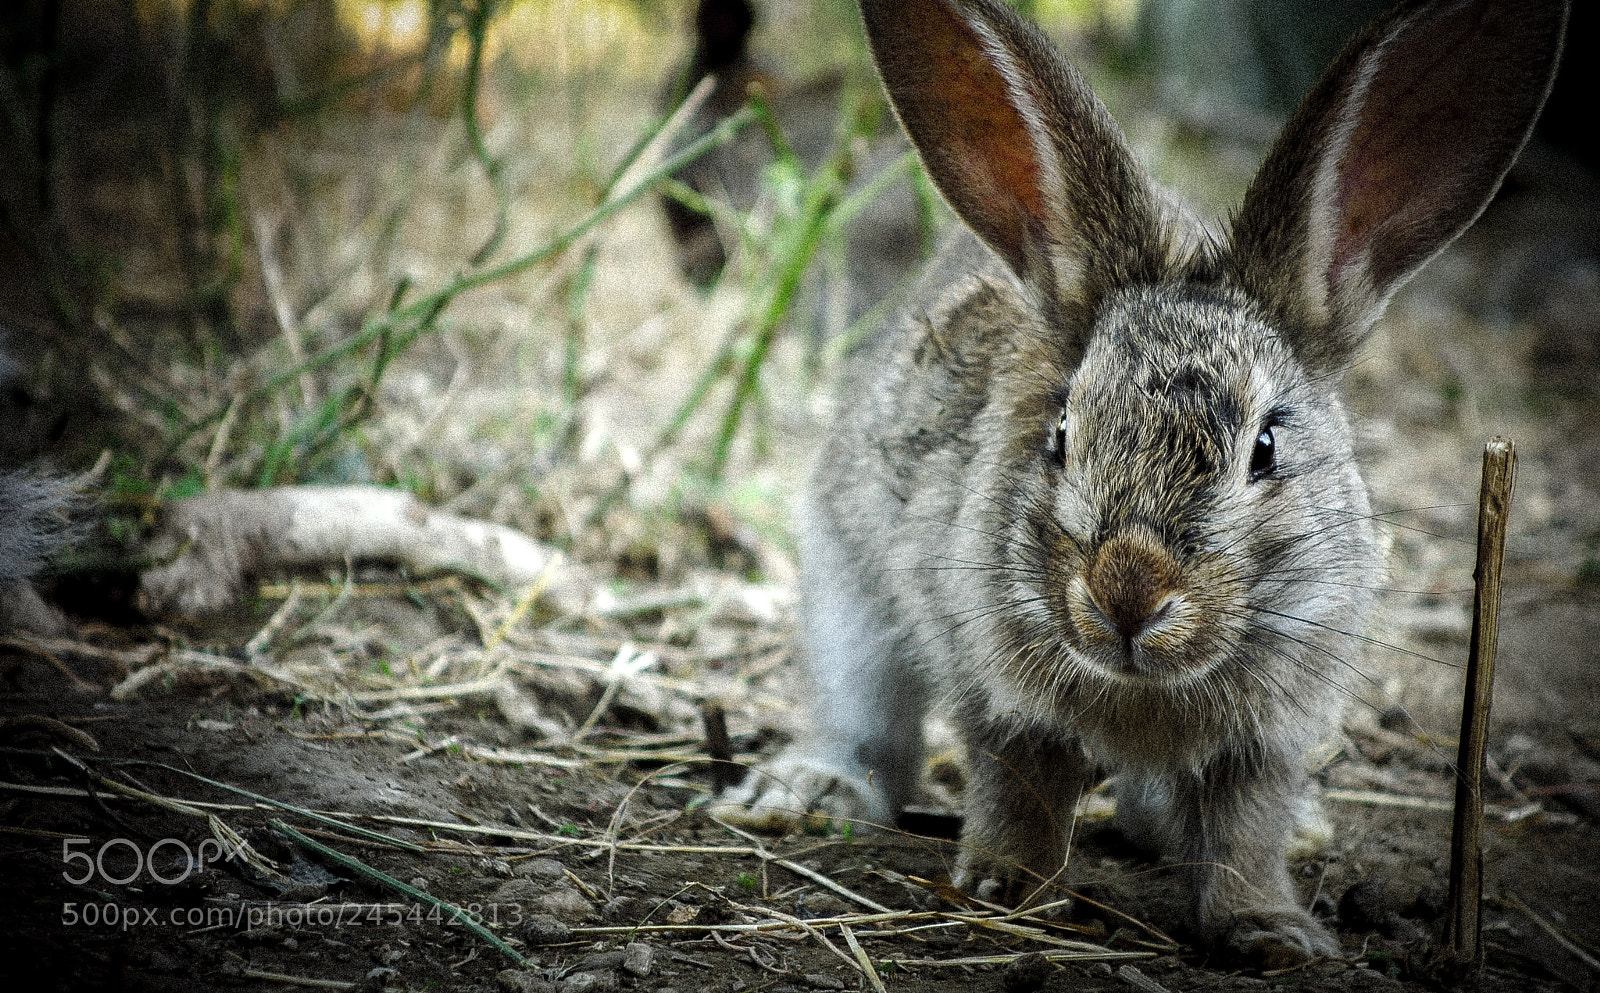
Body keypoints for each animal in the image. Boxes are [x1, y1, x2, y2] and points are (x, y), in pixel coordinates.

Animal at [712, 0, 1567, 967]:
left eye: (1265, 446)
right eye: (1061, 433)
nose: (1127, 592)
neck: (1147, 689)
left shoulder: (1270, 733)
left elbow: (1243, 833)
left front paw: (1270, 930)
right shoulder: (995, 685)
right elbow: (1019, 783)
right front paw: (1008, 887)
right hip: (846, 584)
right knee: (867, 720)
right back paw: (804, 790)